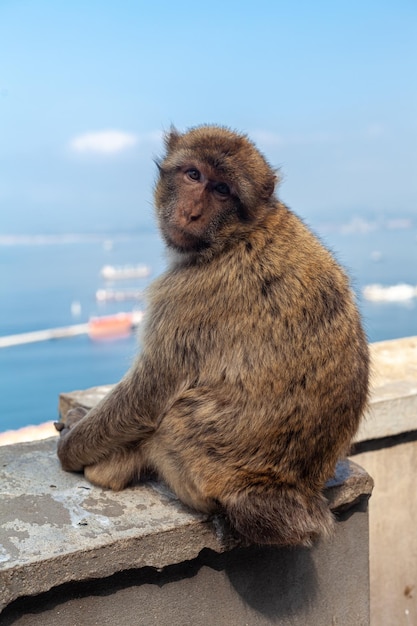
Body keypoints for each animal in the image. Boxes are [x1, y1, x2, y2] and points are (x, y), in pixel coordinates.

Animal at [54, 124, 368, 544]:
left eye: (222, 190)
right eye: (193, 175)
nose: (192, 212)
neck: (238, 235)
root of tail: (289, 489)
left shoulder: (184, 296)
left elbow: (147, 396)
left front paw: (69, 448)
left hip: (198, 462)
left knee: (170, 417)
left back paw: (110, 468)